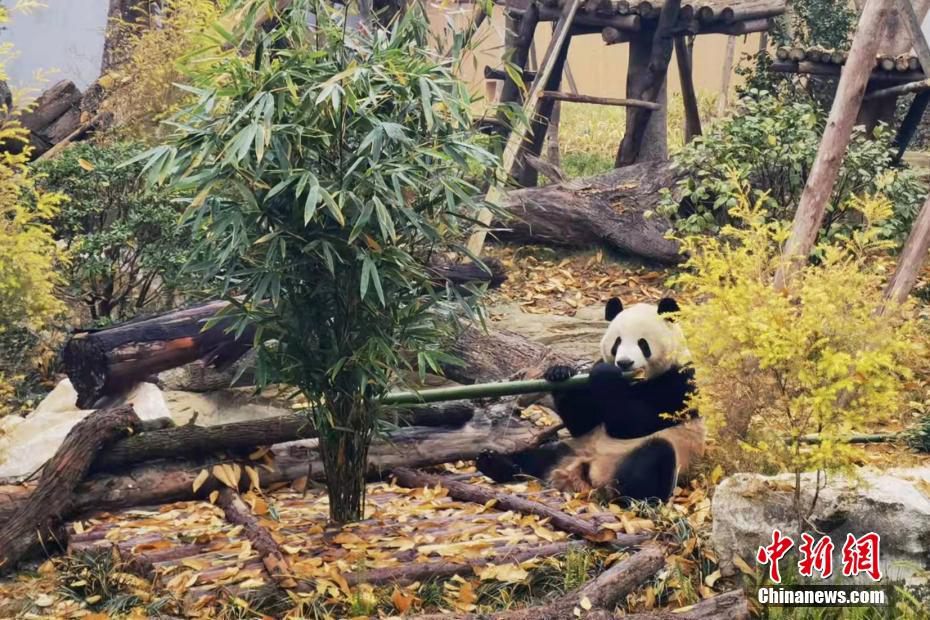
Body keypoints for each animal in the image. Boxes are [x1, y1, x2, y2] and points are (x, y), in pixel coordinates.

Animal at [478, 296, 704, 504]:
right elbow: (583, 421)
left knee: (655, 456)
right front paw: (560, 373)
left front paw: (605, 375)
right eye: (617, 343)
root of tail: (587, 475)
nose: (624, 363)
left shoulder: (679, 382)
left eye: (643, 344)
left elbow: (633, 423)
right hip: (576, 447)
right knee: (540, 457)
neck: (633, 381)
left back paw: (631, 499)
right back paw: (493, 463)